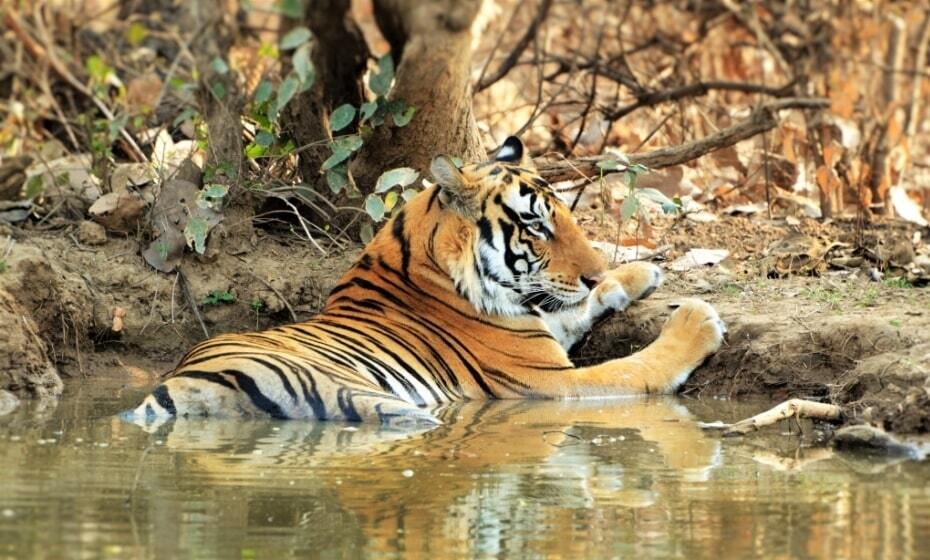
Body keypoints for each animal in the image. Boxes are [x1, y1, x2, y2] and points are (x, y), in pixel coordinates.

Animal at [125, 136, 724, 424]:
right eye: (535, 225)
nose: (595, 268)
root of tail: (175, 387)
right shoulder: (548, 382)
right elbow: (636, 367)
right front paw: (697, 321)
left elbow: (573, 305)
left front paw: (636, 272)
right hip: (375, 400)